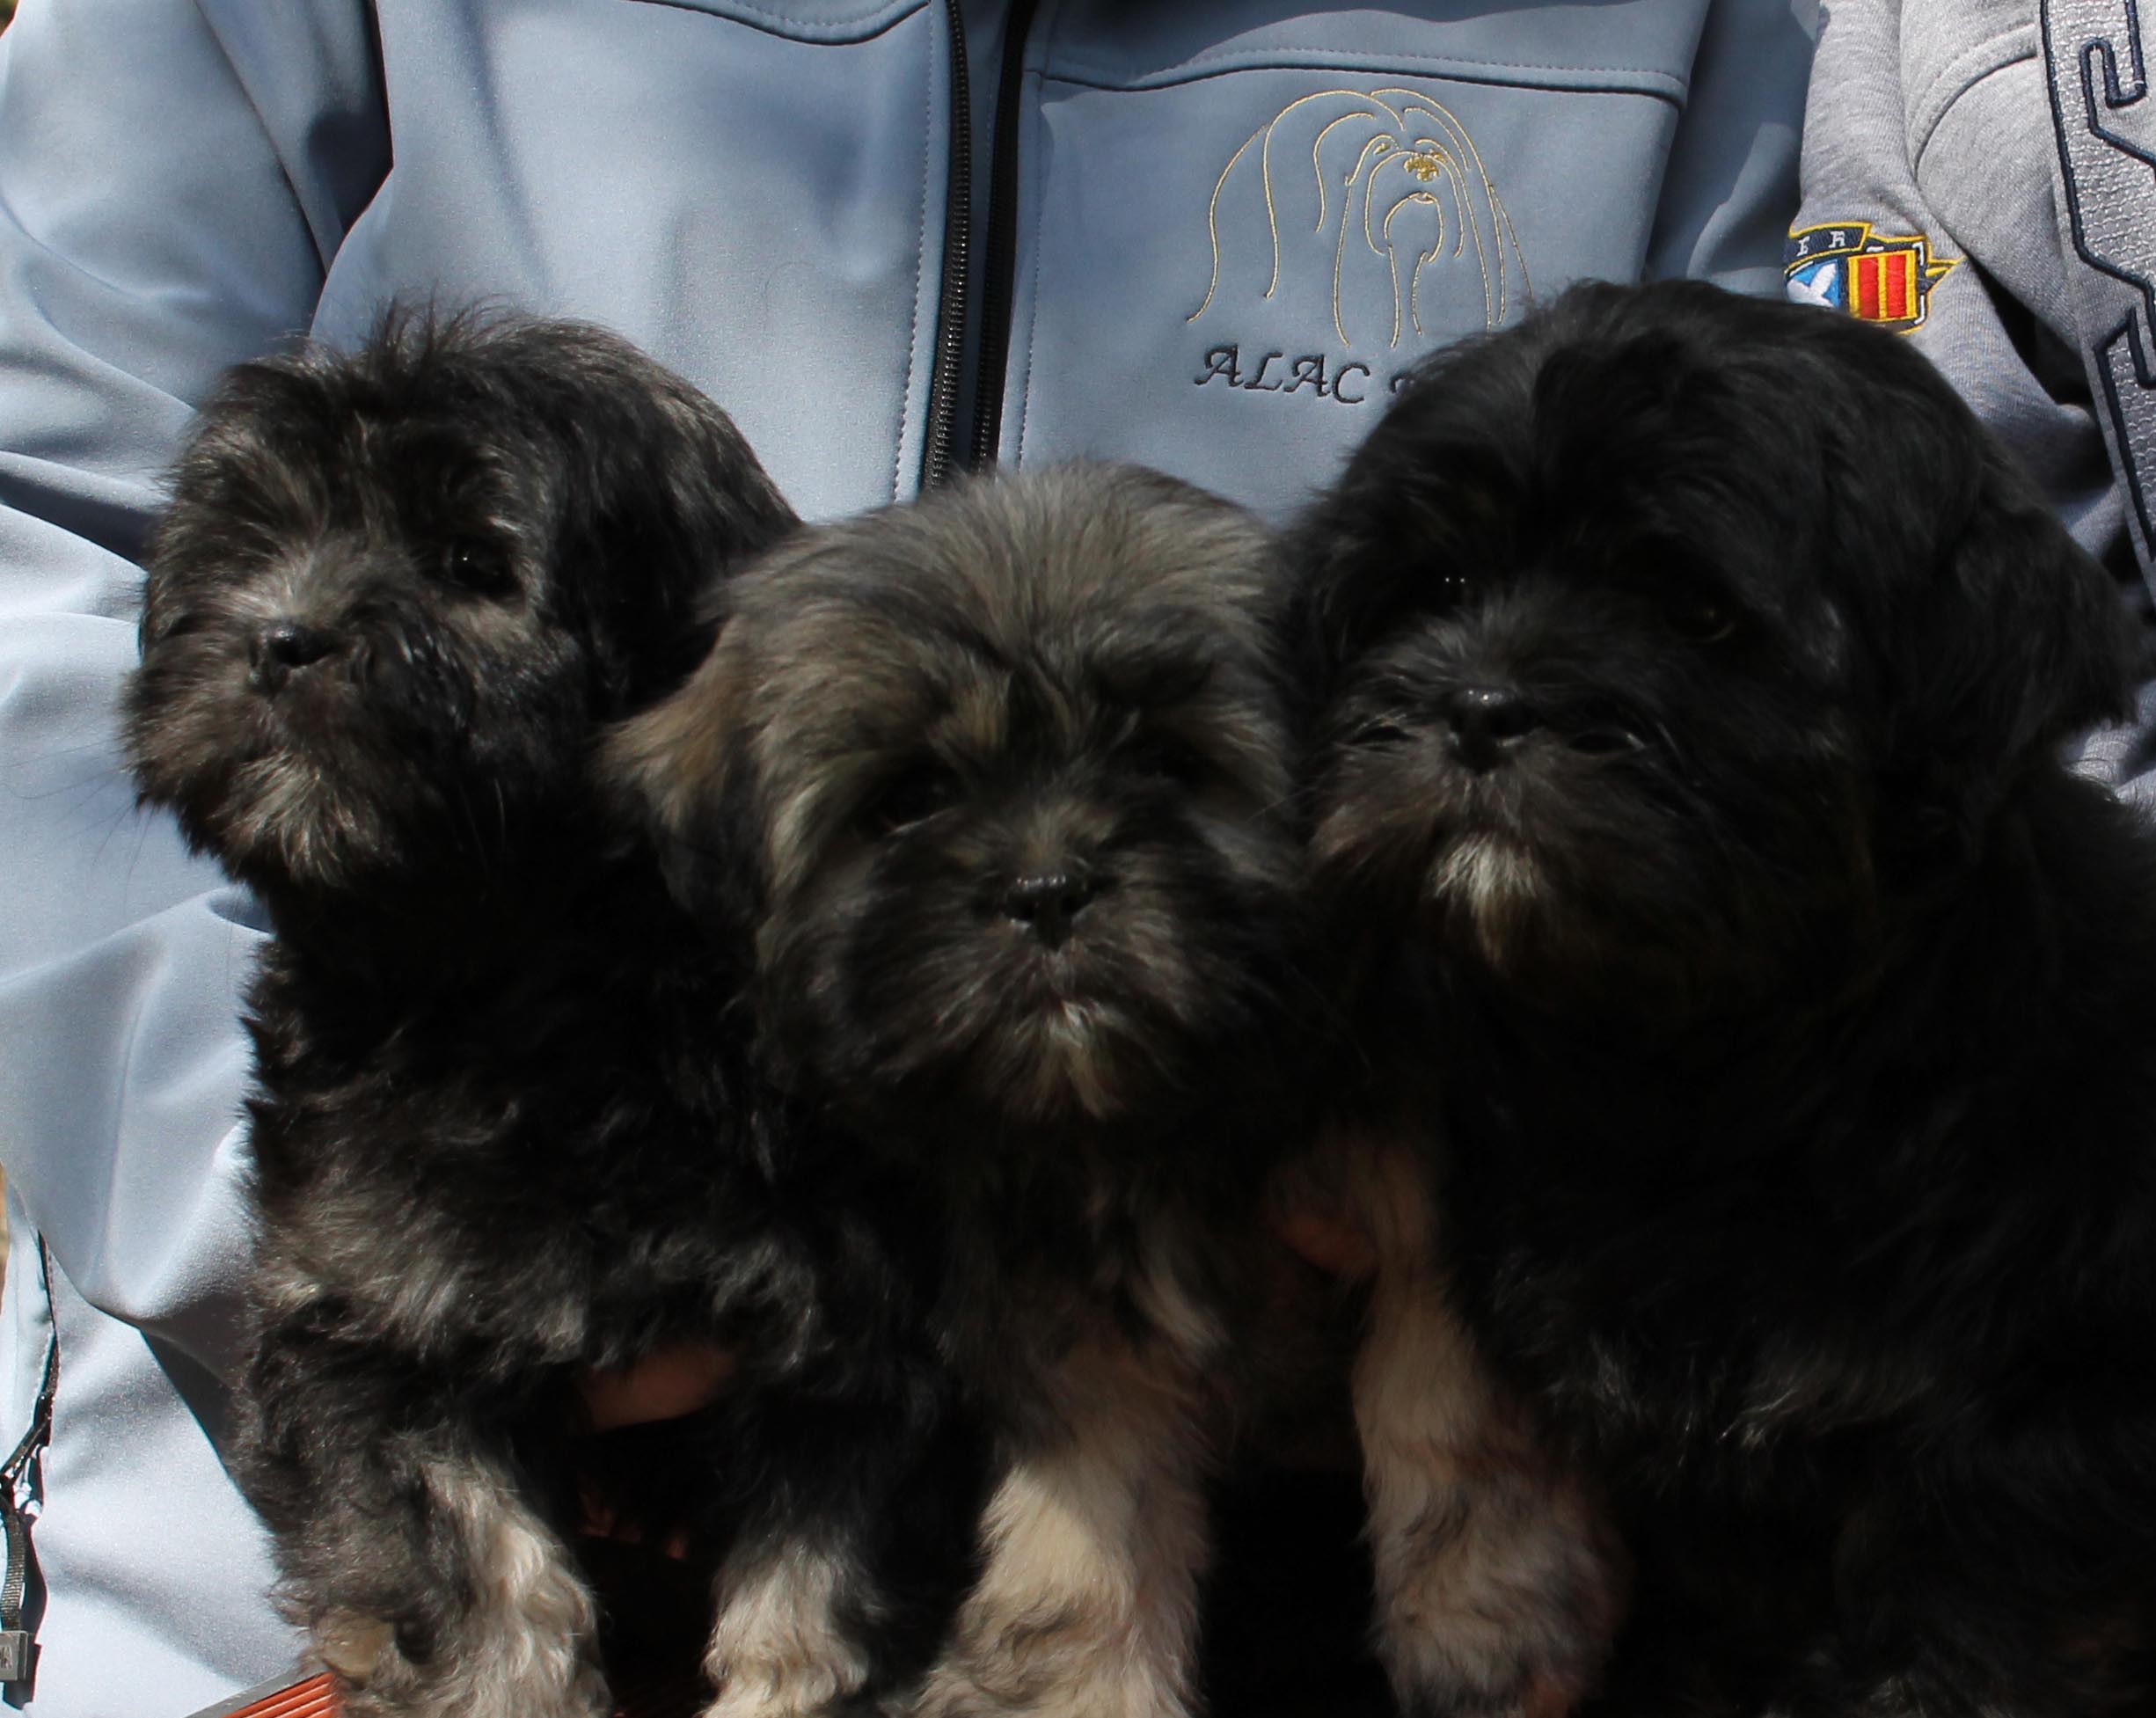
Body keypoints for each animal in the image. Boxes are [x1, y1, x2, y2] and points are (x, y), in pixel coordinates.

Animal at [121, 310, 866, 1718]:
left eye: (474, 564)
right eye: (251, 543)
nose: (277, 639)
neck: (524, 993)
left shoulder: (846, 1328)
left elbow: (810, 1606)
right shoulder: (371, 1318)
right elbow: (483, 1583)